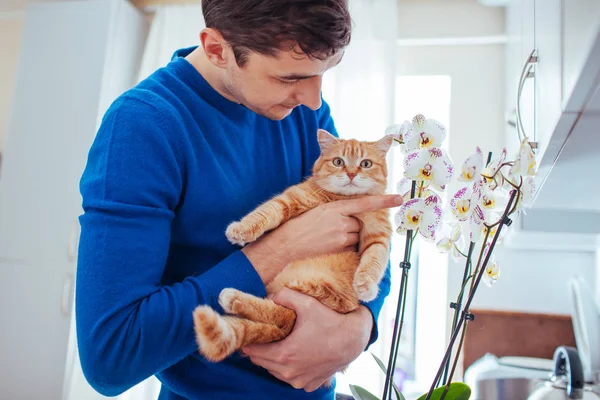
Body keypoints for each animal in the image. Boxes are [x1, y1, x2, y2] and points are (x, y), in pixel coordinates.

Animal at [192, 130, 394, 382]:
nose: (350, 173)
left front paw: (366, 285)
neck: (344, 199)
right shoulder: (290, 199)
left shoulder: (378, 236)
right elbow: (265, 212)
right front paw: (241, 229)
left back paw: (234, 298)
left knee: (281, 314)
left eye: (365, 164)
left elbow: (375, 260)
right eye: (339, 162)